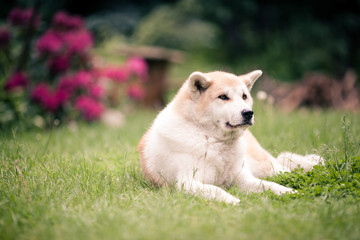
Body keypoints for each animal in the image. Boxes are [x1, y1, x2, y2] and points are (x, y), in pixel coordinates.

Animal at [138, 70, 324, 204]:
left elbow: (272, 186)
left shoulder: (244, 179)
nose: (248, 113)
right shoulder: (186, 182)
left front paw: (293, 192)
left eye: (244, 96)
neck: (212, 140)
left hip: (266, 168)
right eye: (223, 97)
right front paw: (234, 201)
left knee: (284, 164)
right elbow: (216, 189)